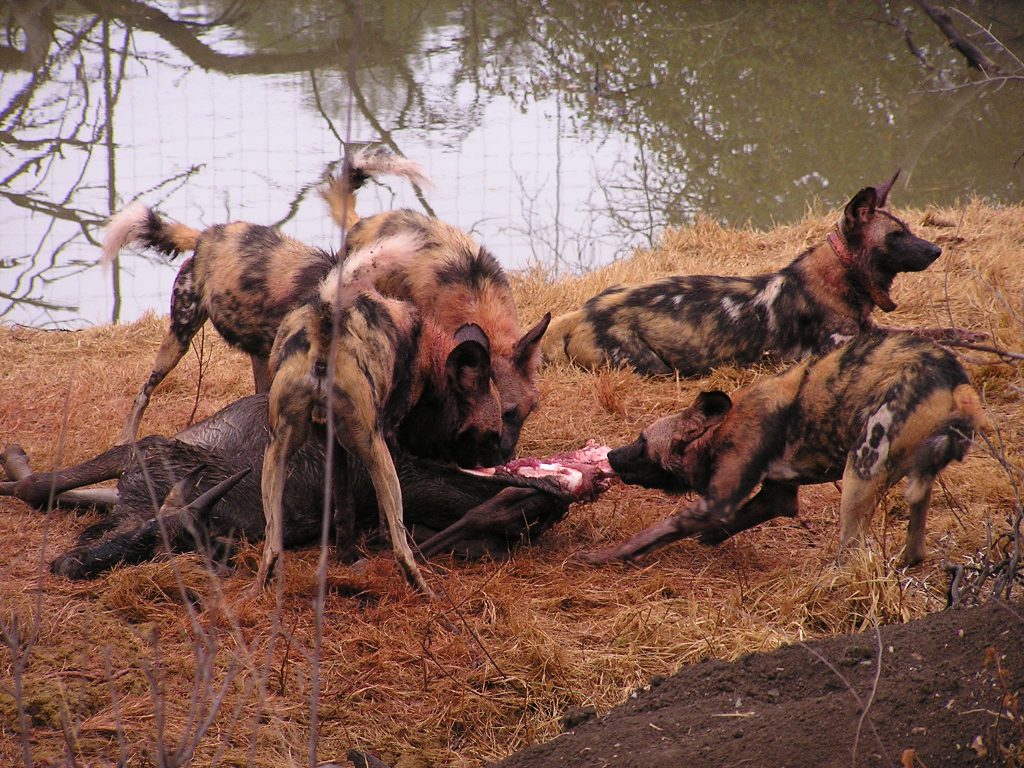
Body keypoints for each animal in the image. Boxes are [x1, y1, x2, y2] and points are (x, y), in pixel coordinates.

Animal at [544, 174, 983, 378]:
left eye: (908, 229)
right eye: (896, 236)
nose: (937, 250)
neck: (841, 277)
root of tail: (581, 314)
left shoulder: (871, 329)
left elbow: (931, 331)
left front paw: (972, 338)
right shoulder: (842, 347)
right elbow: (917, 341)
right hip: (651, 366)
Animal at [585, 333, 991, 569]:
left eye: (641, 442)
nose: (611, 456)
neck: (722, 431)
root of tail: (958, 385)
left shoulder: (717, 500)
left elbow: (659, 530)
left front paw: (604, 556)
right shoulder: (776, 496)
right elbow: (735, 519)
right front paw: (711, 538)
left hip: (861, 470)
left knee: (852, 551)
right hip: (917, 479)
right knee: (915, 536)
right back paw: (906, 562)